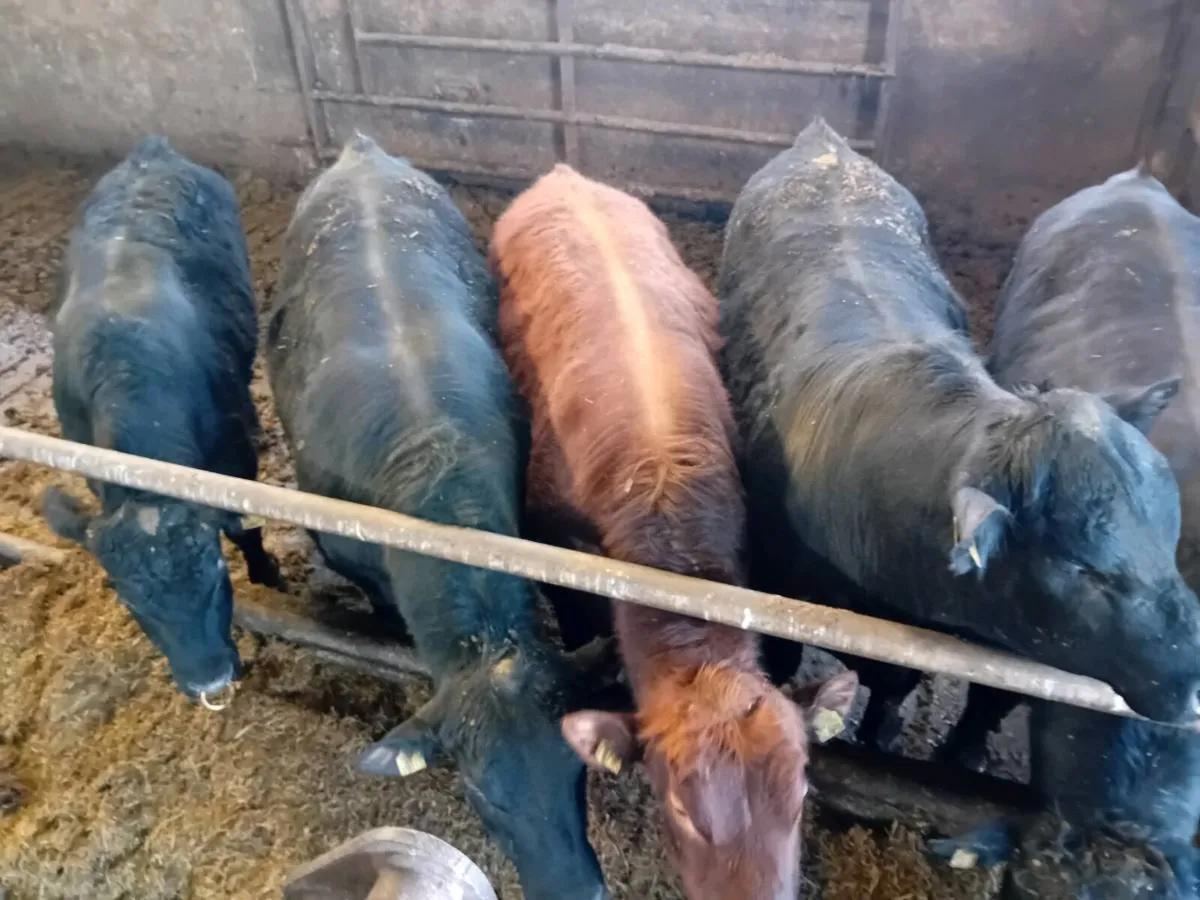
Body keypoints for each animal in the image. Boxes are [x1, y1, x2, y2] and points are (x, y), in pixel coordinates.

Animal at [42, 136, 282, 703]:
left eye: (215, 572)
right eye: (130, 599)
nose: (207, 679)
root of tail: (151, 151)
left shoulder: (236, 453)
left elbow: (246, 529)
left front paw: (267, 575)